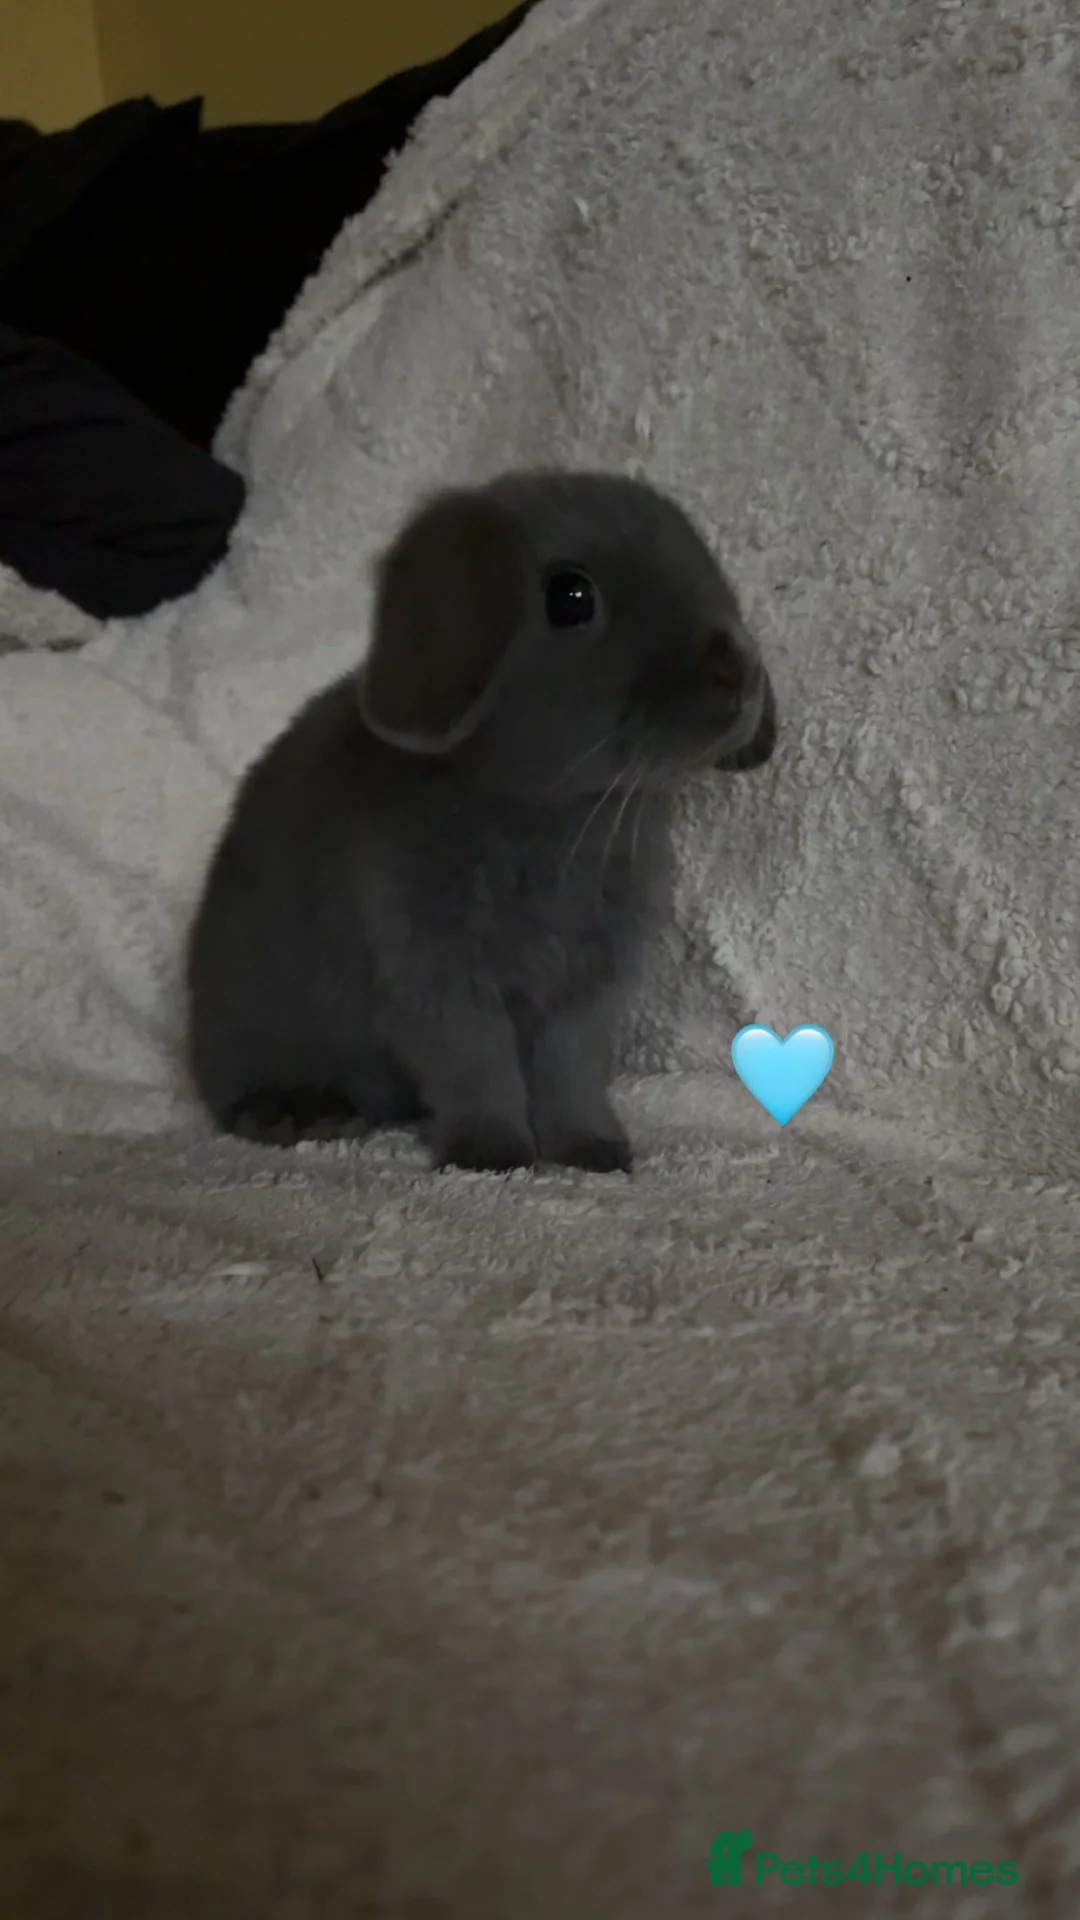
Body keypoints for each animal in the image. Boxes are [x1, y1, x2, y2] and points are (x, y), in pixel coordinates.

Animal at [185, 470, 777, 1173]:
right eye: (571, 596)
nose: (737, 672)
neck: (550, 817)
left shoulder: (586, 989)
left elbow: (570, 1071)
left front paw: (593, 1151)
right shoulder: (436, 973)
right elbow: (476, 1064)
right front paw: (492, 1155)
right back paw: (298, 1113)